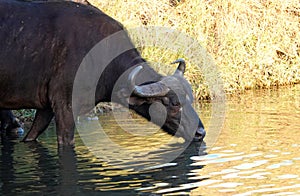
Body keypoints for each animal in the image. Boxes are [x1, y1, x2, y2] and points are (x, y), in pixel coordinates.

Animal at [0, 0, 205, 145]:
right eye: (173, 103)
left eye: (190, 99)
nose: (200, 133)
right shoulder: (65, 108)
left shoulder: (46, 108)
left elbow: (31, 136)